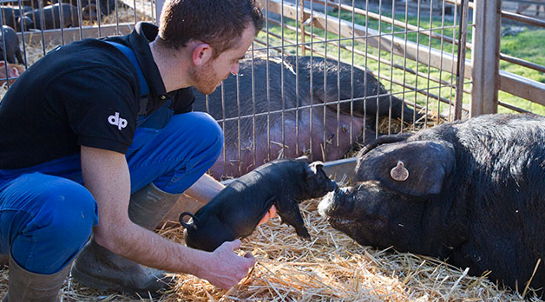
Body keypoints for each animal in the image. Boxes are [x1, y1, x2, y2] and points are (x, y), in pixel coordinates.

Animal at [178, 157, 336, 251]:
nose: (334, 182)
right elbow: (296, 218)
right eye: (321, 177)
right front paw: (307, 238)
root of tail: (192, 224)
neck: (296, 177)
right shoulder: (285, 199)